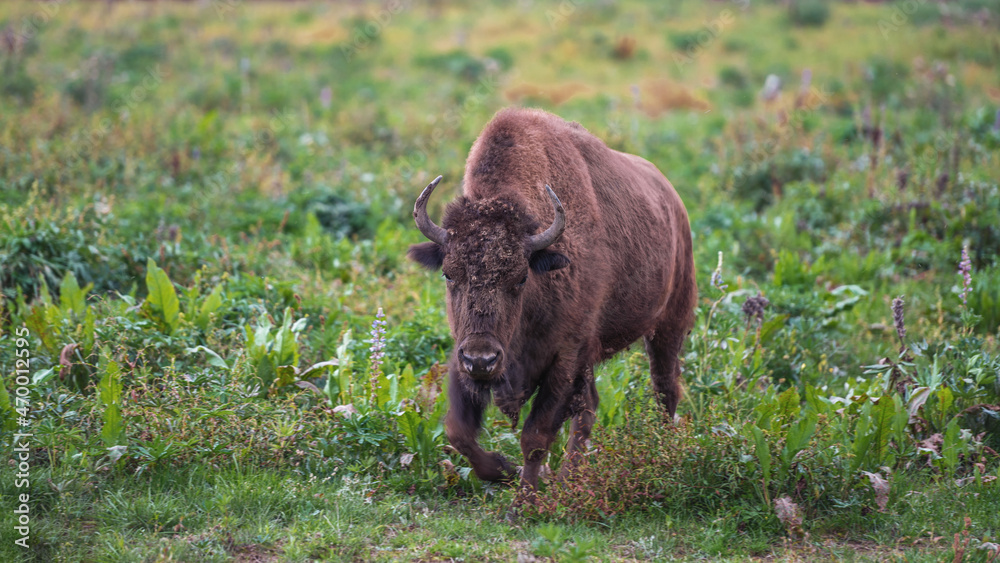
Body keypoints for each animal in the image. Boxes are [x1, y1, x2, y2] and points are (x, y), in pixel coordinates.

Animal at [408, 107, 697, 498]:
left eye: (520, 278)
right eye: (449, 275)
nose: (482, 359)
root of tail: (674, 203)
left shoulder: (564, 358)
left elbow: (536, 435)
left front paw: (524, 501)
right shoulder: (462, 357)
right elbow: (459, 431)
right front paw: (503, 470)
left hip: (668, 326)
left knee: (665, 388)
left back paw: (660, 450)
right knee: (590, 407)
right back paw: (569, 478)